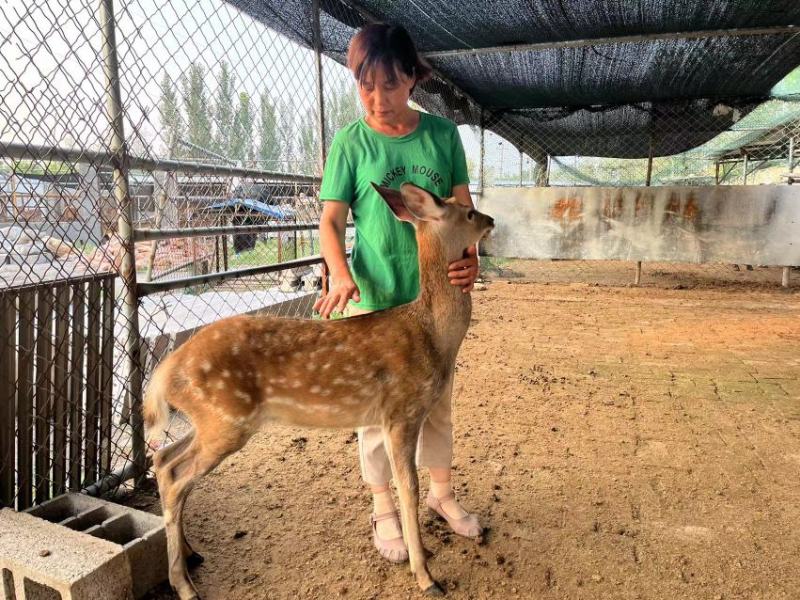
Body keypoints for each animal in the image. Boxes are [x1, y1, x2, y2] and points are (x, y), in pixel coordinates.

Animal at [144, 181, 495, 599]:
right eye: (468, 212)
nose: (491, 219)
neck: (433, 336)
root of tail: (166, 370)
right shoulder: (400, 412)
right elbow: (407, 487)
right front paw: (425, 575)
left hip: (211, 420)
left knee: (165, 460)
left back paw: (192, 555)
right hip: (226, 418)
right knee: (176, 477)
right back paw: (184, 585)